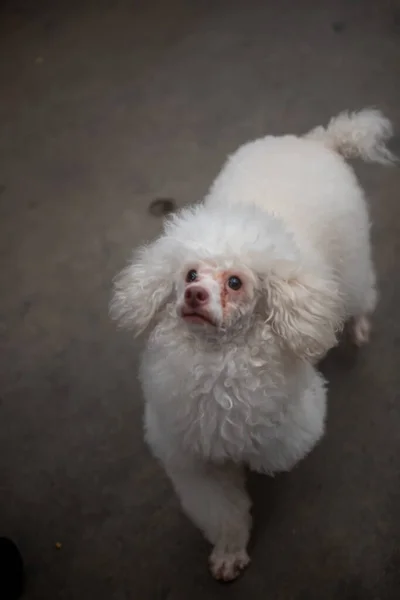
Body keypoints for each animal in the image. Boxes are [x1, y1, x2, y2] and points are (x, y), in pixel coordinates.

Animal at [111, 109, 396, 580]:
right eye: (190, 275)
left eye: (234, 282)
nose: (194, 296)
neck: (218, 359)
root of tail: (316, 142)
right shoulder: (193, 460)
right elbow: (221, 510)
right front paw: (229, 551)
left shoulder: (296, 424)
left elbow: (272, 454)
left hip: (351, 267)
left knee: (361, 296)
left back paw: (357, 328)